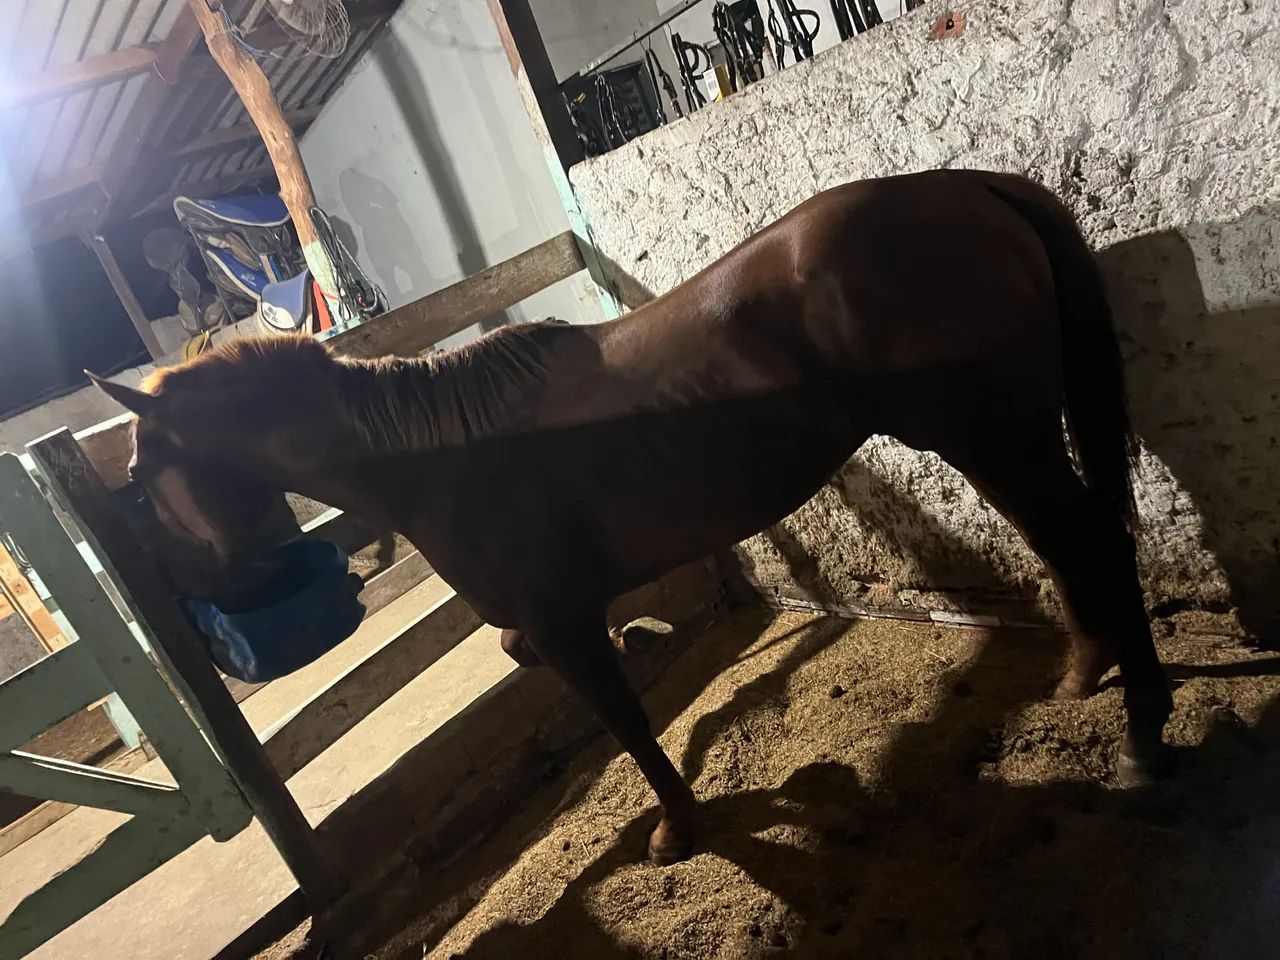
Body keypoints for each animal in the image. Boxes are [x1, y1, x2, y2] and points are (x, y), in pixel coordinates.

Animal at [90, 168, 1173, 865]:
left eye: (140, 475)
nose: (214, 615)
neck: (441, 459)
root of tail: (971, 188)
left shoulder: (564, 622)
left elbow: (625, 725)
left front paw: (676, 829)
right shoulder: (551, 622)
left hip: (990, 434)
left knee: (1091, 539)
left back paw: (1141, 732)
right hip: (995, 439)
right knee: (1061, 540)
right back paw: (1087, 673)